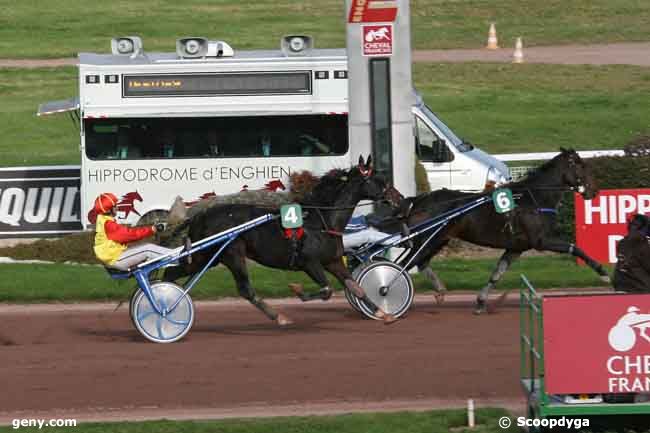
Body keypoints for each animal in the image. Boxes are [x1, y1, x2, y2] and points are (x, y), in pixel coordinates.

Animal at [165, 156, 402, 324]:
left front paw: (384, 313)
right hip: (232, 254)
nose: (399, 198)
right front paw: (297, 290)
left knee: (172, 272)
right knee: (245, 290)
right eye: (380, 180)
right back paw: (278, 316)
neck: (321, 220)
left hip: (208, 257)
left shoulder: (333, 261)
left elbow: (357, 288)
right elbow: (326, 290)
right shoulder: (309, 262)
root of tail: (199, 215)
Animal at [398, 148, 604, 310]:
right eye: (581, 165)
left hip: (439, 239)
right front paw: (603, 274)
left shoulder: (516, 247)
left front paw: (481, 301)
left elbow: (497, 274)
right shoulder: (541, 241)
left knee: (420, 262)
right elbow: (575, 248)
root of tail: (419, 201)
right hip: (429, 239)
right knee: (404, 265)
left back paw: (439, 290)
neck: (534, 197)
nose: (594, 191)